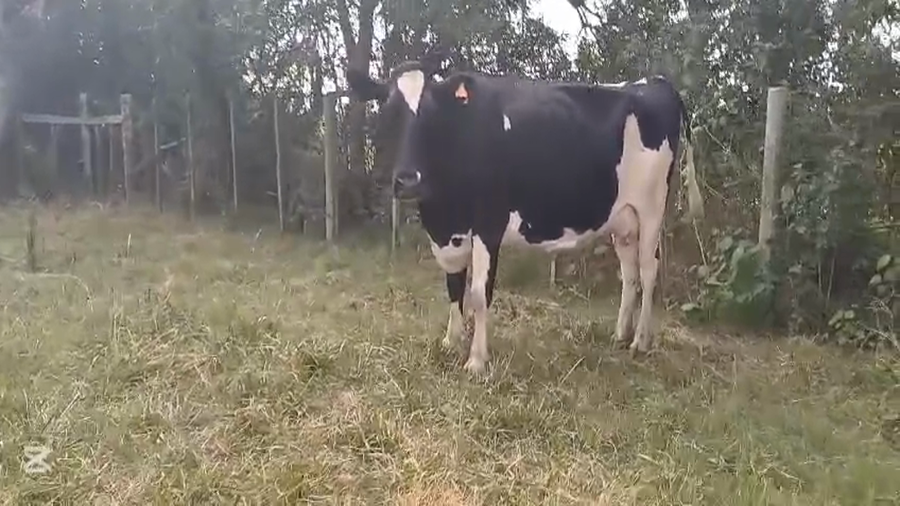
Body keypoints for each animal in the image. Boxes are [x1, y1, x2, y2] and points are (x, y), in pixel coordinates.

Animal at [347, 56, 705, 375]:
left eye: (433, 116)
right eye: (388, 113)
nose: (408, 180)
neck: (443, 212)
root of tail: (654, 82)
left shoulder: (489, 223)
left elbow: (479, 293)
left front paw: (476, 360)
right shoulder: (449, 232)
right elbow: (454, 285)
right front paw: (451, 340)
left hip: (652, 206)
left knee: (648, 269)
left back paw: (640, 341)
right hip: (623, 216)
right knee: (629, 273)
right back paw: (620, 334)